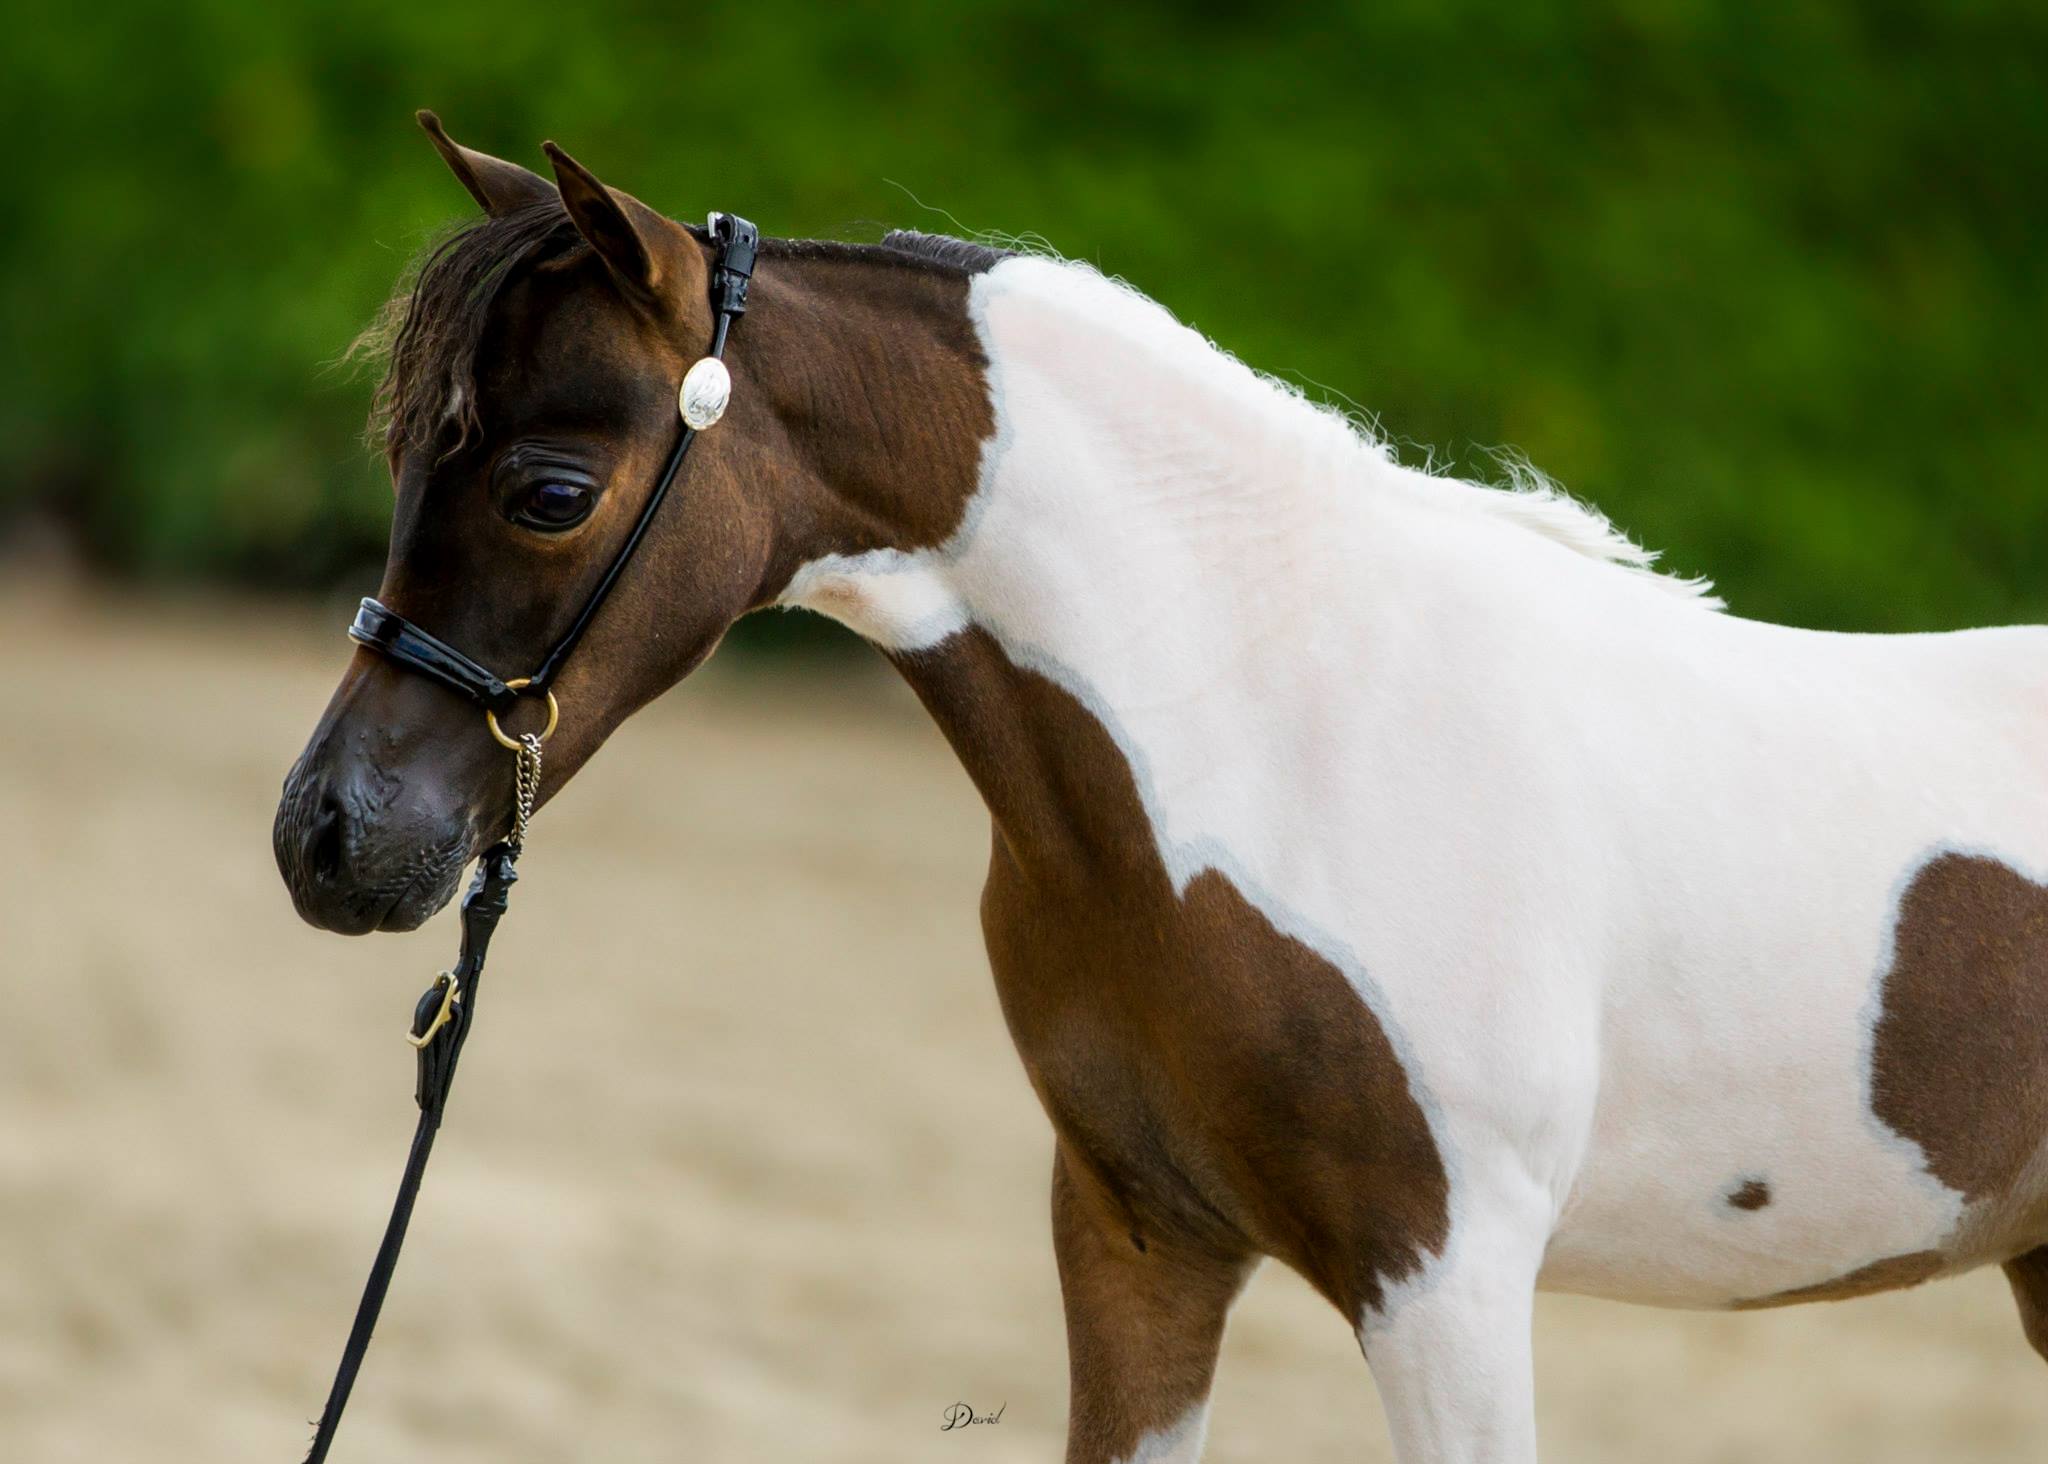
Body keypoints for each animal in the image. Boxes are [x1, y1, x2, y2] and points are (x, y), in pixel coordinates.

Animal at [275, 113, 2048, 1463]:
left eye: (549, 491)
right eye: (408, 462)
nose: (328, 838)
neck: (1281, 734)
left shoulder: (1451, 1283)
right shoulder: (1140, 1237)